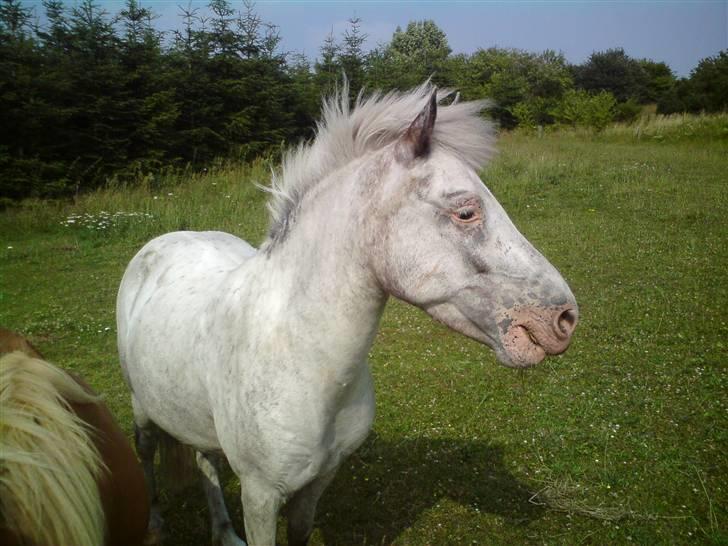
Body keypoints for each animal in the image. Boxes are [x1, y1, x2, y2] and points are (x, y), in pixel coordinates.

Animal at [116, 83, 576, 540]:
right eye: (466, 211)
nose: (565, 319)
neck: (302, 362)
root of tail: (165, 240)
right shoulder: (259, 495)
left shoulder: (318, 482)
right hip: (142, 409)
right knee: (146, 454)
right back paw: (154, 524)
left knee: (205, 460)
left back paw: (224, 532)